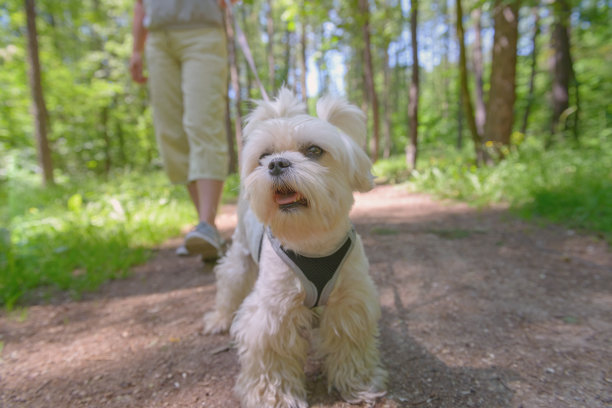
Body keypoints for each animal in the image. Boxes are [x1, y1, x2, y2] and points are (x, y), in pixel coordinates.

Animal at [206, 89, 388, 408]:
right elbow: (272, 359)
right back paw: (219, 318)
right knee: (229, 285)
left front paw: (359, 383)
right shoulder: (272, 313)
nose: (276, 163)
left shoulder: (349, 302)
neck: (311, 242)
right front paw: (273, 397)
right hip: (240, 259)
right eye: (263, 156)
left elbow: (351, 344)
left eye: (314, 150)